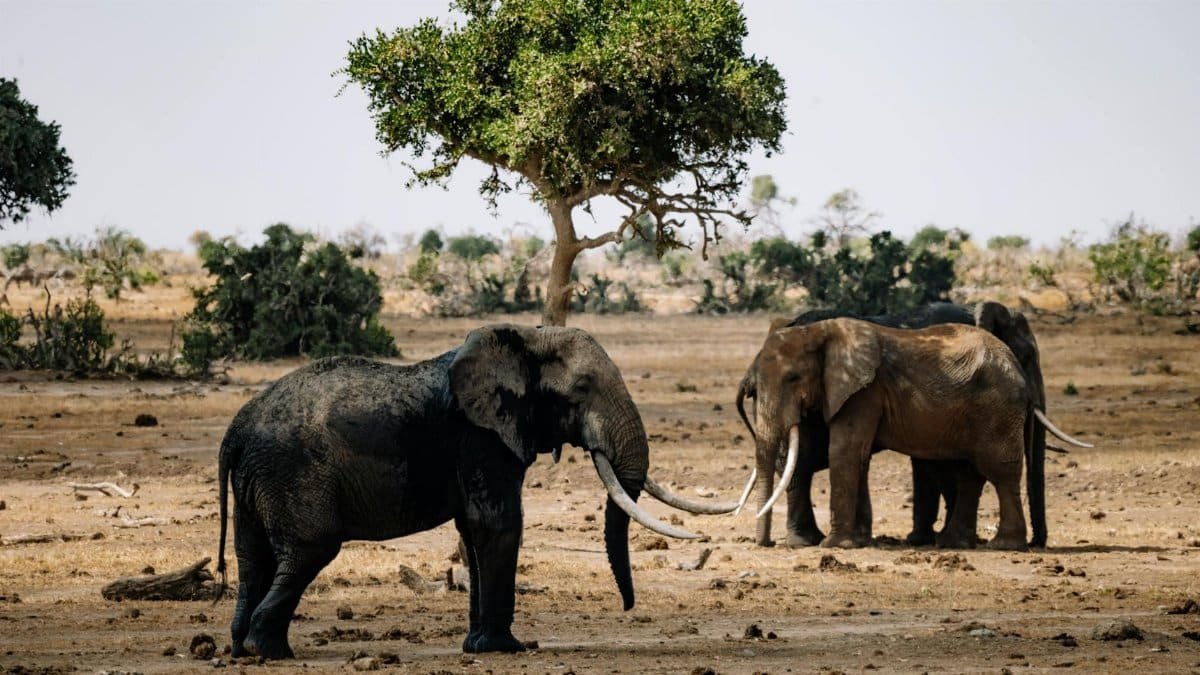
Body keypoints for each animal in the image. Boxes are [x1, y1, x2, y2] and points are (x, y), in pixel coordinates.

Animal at [213, 324, 732, 659]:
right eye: (582, 387)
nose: (627, 608)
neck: (525, 341)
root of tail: (235, 431)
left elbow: (471, 531)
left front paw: (477, 646)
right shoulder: (482, 437)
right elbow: (498, 525)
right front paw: (507, 648)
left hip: (259, 479)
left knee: (253, 556)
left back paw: (241, 649)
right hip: (292, 473)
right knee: (307, 552)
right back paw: (268, 650)